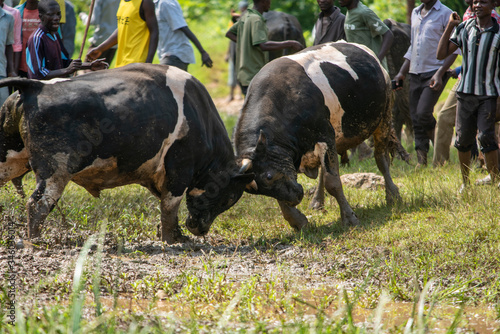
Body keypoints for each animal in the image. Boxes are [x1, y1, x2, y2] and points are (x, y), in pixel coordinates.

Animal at [0, 63, 254, 243]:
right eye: (229, 197)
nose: (200, 229)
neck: (200, 117)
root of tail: (37, 86)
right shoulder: (180, 169)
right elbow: (170, 207)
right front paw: (171, 240)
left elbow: (166, 206)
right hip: (55, 170)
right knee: (38, 203)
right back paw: (35, 241)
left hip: (9, 157)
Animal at [234, 41, 406, 230]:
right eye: (258, 190)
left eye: (269, 177)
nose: (296, 198)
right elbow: (283, 198)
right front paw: (297, 221)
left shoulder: (325, 135)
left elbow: (333, 182)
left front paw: (349, 218)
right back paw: (317, 201)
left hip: (384, 116)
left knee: (381, 158)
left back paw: (393, 196)